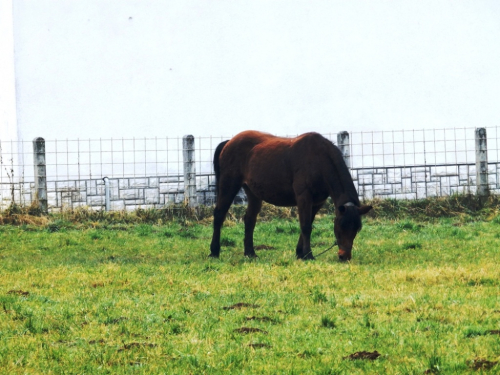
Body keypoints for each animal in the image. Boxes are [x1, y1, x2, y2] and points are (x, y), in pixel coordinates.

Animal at [208, 131, 372, 262]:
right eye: (341, 226)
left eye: (357, 229)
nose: (344, 256)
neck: (319, 159)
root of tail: (229, 142)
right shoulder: (304, 197)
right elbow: (305, 226)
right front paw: (308, 255)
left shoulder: (317, 202)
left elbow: (308, 224)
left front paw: (300, 253)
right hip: (229, 185)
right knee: (219, 215)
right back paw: (214, 252)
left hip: (253, 193)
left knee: (249, 220)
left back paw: (250, 253)